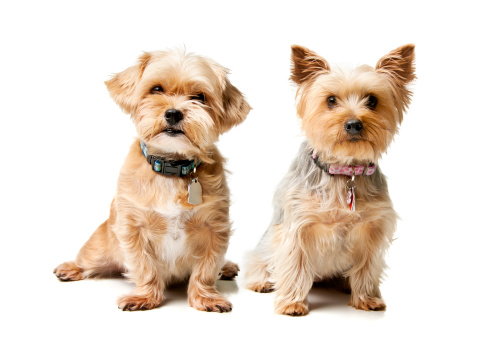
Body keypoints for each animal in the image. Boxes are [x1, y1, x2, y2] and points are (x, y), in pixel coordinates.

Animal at [53, 48, 250, 312]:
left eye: (199, 97)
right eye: (156, 89)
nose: (174, 113)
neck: (172, 169)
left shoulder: (215, 228)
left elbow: (206, 268)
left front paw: (206, 297)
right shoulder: (132, 229)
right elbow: (143, 265)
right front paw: (144, 296)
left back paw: (226, 267)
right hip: (99, 248)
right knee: (88, 259)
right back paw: (71, 267)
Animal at [245, 43, 414, 316]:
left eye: (372, 100)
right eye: (331, 100)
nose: (354, 124)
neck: (344, 173)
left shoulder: (373, 229)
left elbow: (367, 266)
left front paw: (366, 298)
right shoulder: (298, 226)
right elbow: (294, 265)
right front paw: (292, 303)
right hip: (266, 244)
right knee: (259, 261)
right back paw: (262, 281)